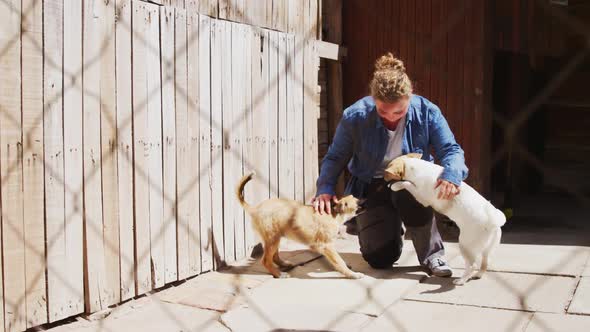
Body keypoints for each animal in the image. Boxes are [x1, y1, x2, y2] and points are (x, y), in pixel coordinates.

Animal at [236, 172, 366, 278]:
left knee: (274, 256)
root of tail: (256, 209)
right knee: (266, 260)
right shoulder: (326, 246)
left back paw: (284, 264)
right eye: (358, 203)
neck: (335, 214)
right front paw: (352, 274)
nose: (367, 199)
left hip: (275, 237)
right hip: (272, 238)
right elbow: (339, 261)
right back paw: (279, 274)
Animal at [386, 153, 506, 286]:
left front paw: (395, 186)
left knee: (472, 265)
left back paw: (461, 280)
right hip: (487, 249)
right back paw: (477, 275)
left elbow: (407, 184)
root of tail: (493, 221)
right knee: (485, 263)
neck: (418, 167)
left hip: (465, 244)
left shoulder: (421, 197)